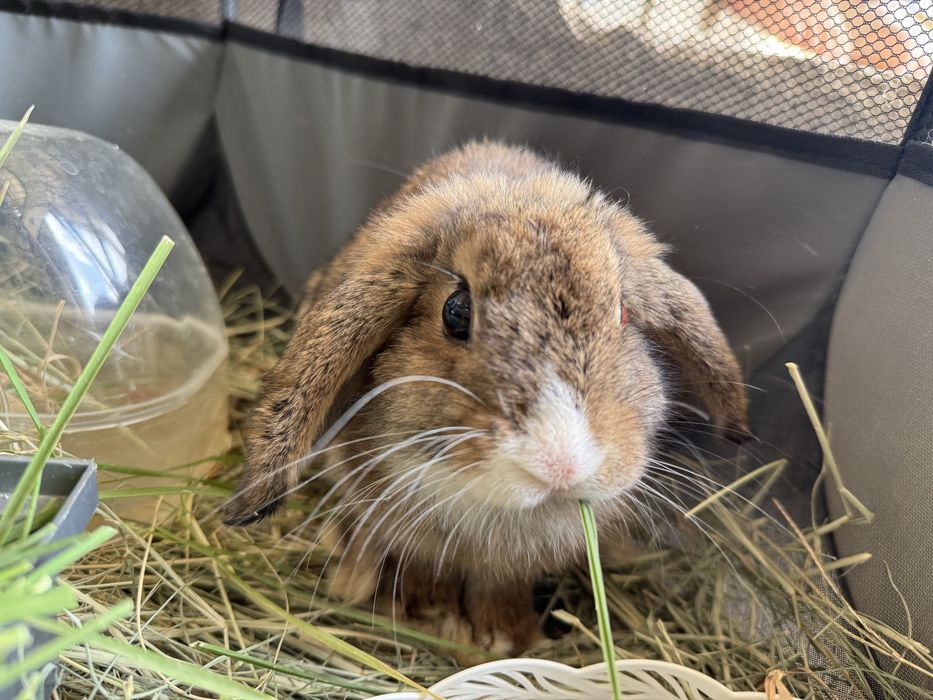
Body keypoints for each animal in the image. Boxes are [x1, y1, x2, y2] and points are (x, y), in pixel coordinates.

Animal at [224, 141, 748, 660]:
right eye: (456, 311)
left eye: (622, 313)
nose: (562, 465)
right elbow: (423, 568)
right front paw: (436, 618)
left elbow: (500, 587)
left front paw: (505, 636)